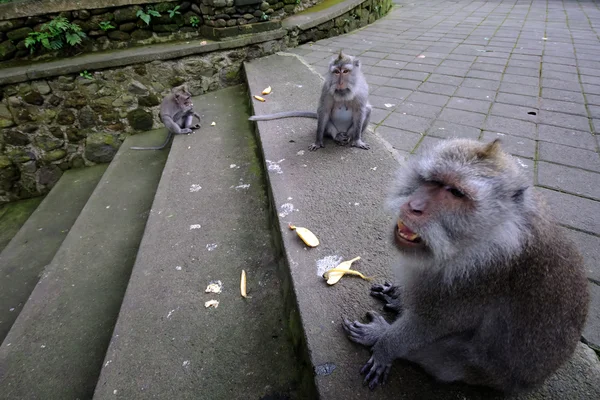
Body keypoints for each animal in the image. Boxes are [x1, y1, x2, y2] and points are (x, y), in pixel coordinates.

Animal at [344, 139, 588, 392]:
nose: (414, 206)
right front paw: (397, 295)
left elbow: (430, 324)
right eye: (433, 181)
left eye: (455, 193)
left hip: (479, 372)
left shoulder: (477, 281)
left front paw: (385, 346)